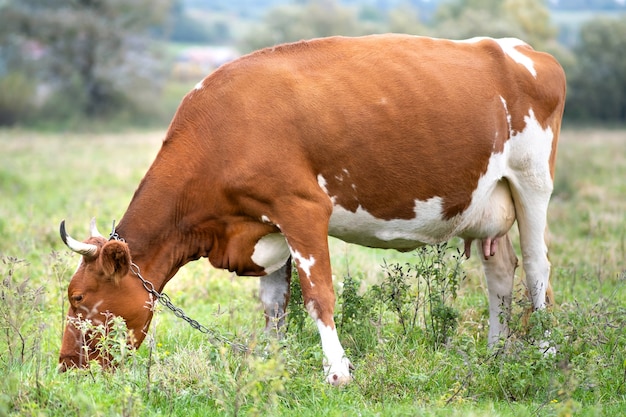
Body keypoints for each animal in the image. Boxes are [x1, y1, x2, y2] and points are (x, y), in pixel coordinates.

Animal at [58, 34, 564, 386]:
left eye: (78, 298)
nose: (65, 367)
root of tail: (519, 49)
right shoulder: (265, 227)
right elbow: (274, 305)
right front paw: (271, 361)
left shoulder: (301, 209)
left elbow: (319, 295)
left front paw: (337, 372)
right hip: (490, 202)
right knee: (500, 272)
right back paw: (496, 353)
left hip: (533, 181)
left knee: (537, 266)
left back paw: (544, 351)